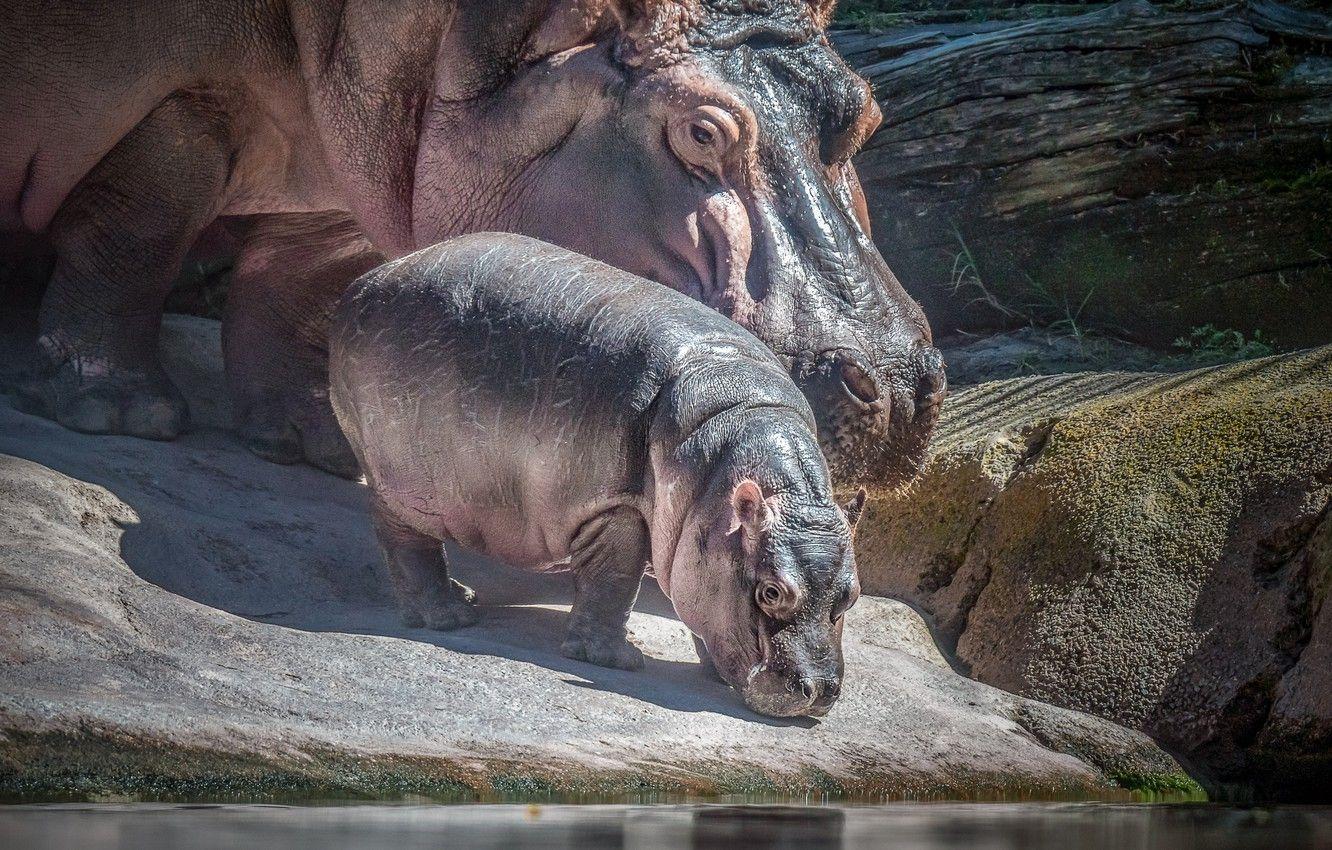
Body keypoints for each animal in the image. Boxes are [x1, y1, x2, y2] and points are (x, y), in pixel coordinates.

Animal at [2, 0, 944, 490]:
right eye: (701, 132)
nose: (899, 386)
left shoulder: (354, 153)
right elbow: (136, 232)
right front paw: (121, 413)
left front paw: (320, 443)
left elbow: (293, 284)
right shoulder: (185, 97)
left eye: (865, 110)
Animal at [330, 233, 865, 718]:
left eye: (852, 594)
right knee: (406, 540)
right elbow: (613, 579)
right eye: (770, 591)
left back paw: (465, 596)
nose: (820, 691)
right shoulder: (616, 507)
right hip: (402, 480)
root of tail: (362, 284)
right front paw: (615, 659)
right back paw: (448, 617)